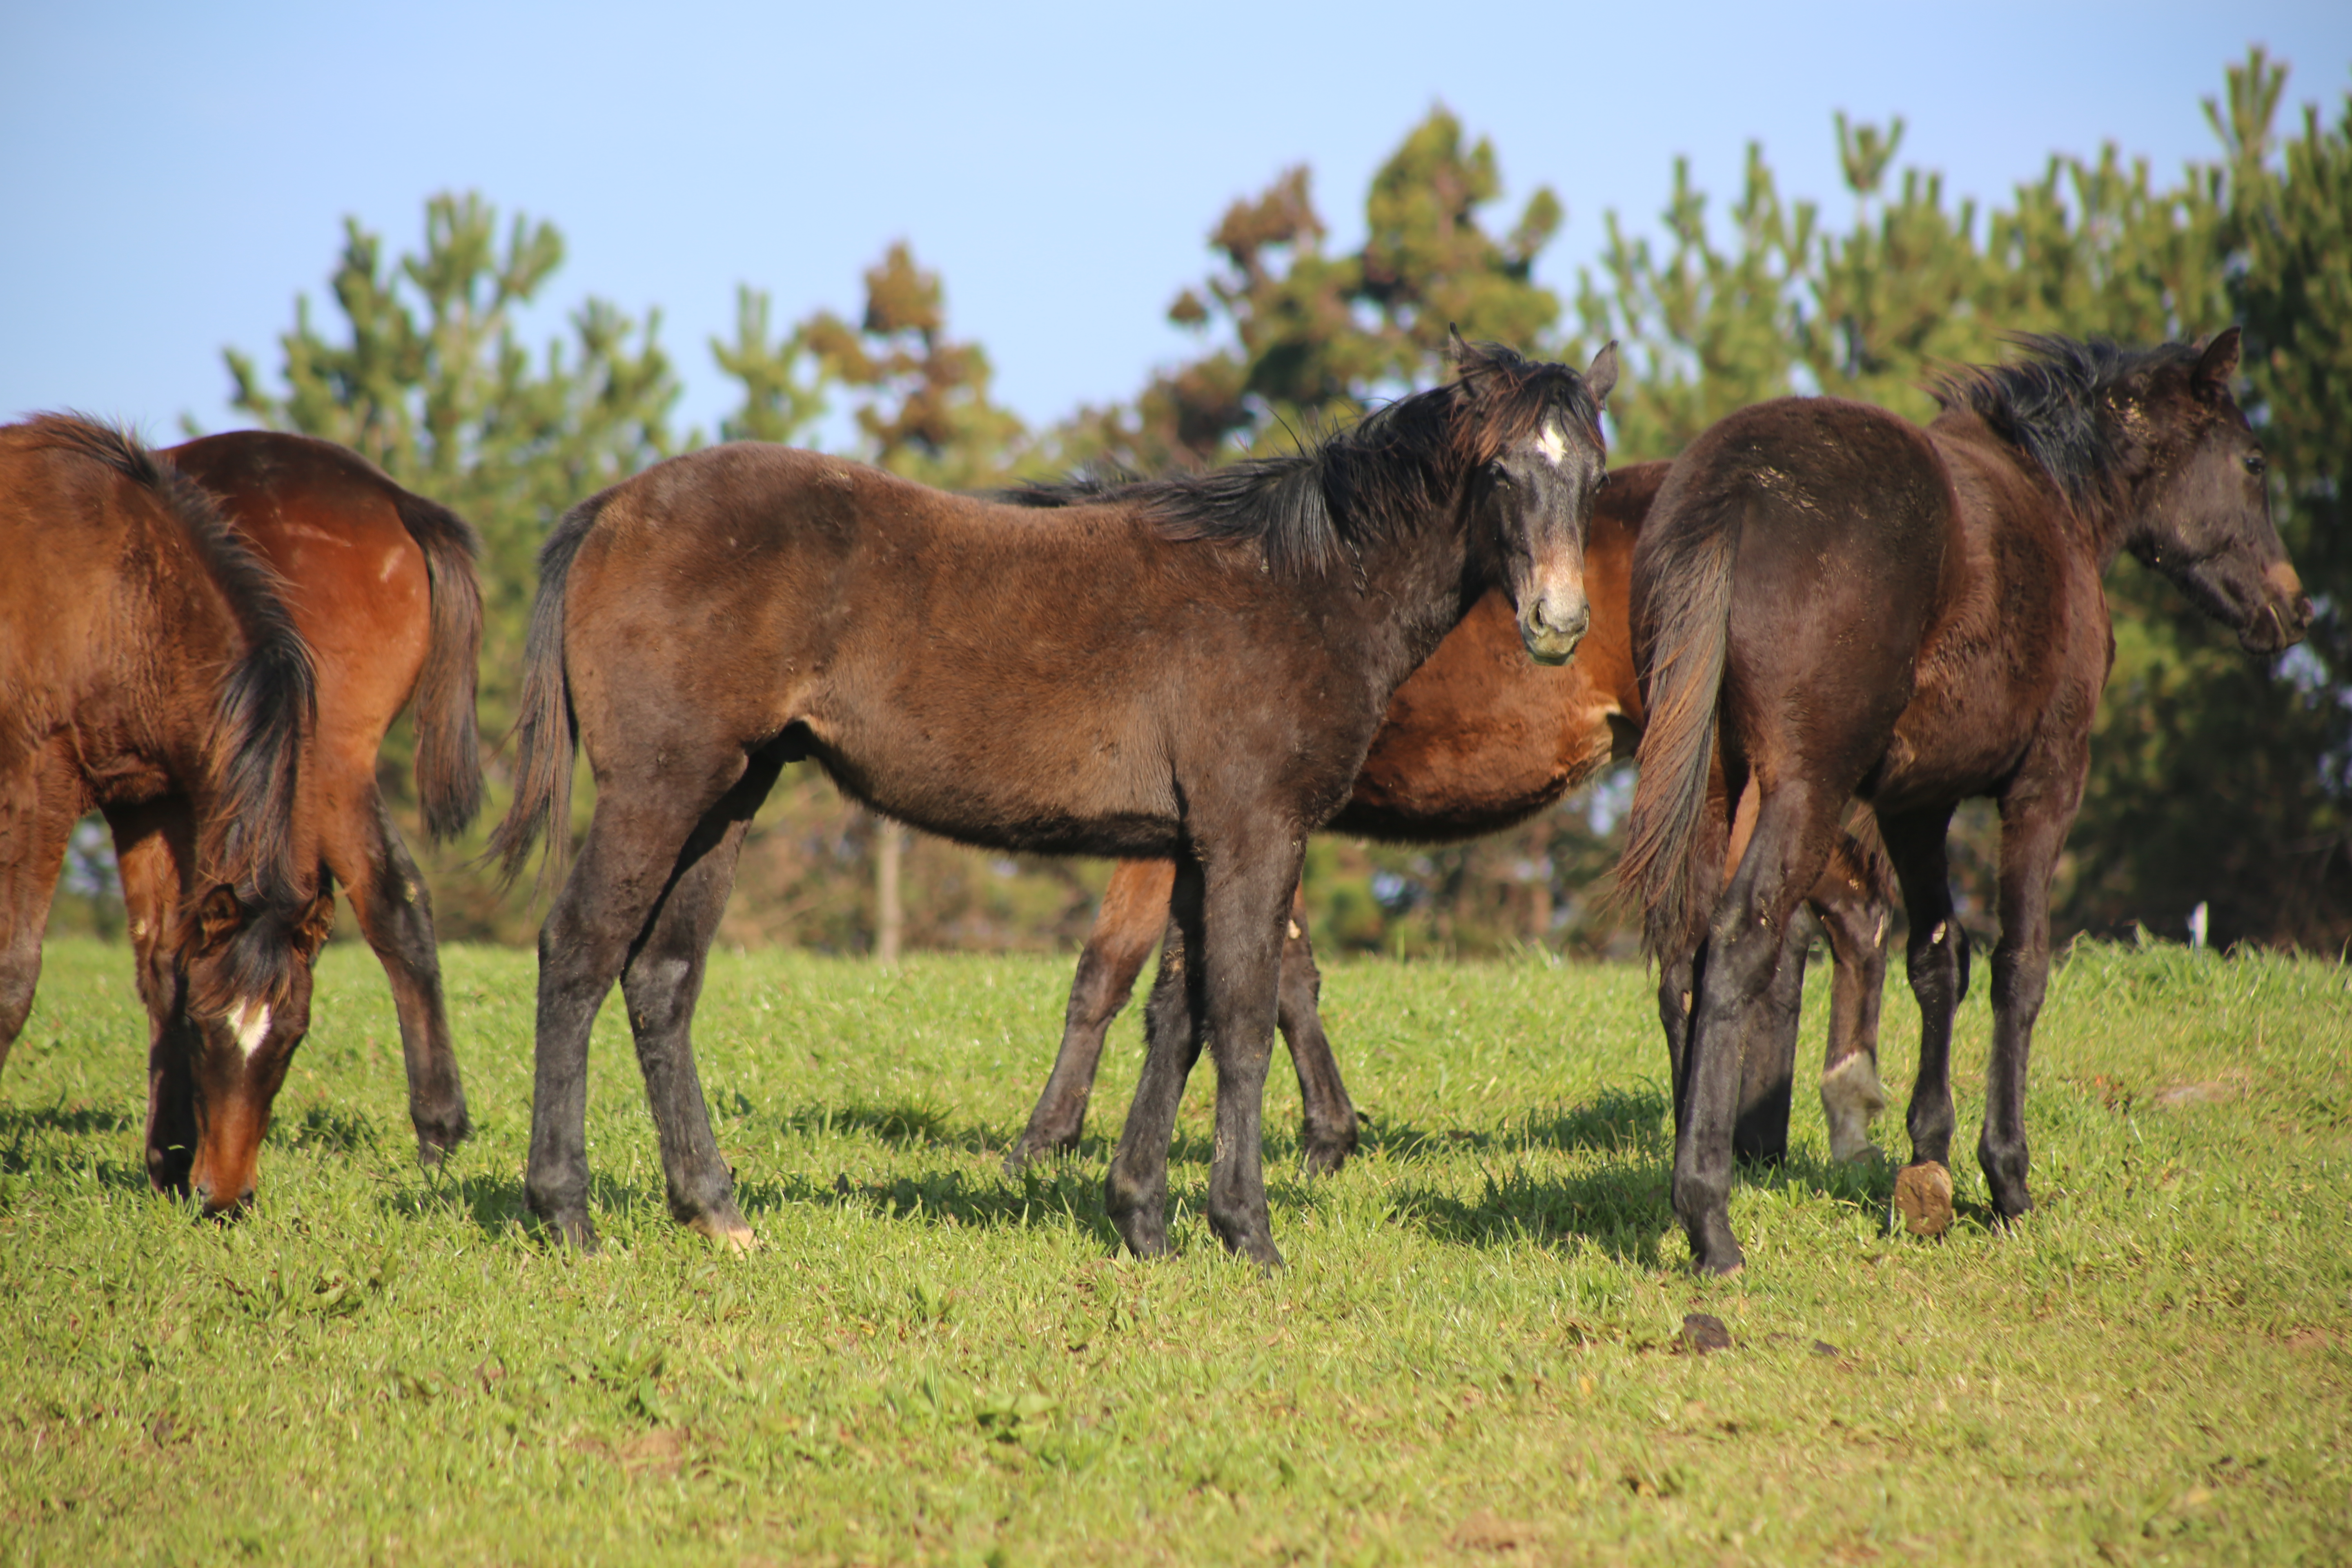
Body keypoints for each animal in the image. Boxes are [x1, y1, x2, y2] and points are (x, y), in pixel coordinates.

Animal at [0, 416, 332, 1213]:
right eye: (209, 1030)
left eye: (292, 1038)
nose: (228, 1199)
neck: (126, 597)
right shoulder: (42, 778)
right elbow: (15, 974)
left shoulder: (153, 801)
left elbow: (166, 965)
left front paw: (168, 1165)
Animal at [491, 334, 1618, 1260]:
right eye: (1501, 468)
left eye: (1592, 473)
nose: (1559, 623)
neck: (1298, 586)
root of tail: (611, 510)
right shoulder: (1254, 831)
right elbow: (1243, 1016)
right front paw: (1245, 1232)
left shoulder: (1190, 841)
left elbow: (1179, 1014)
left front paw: (1144, 1221)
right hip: (661, 783)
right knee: (579, 951)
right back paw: (567, 1213)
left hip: (730, 793)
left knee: (662, 979)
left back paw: (714, 1211)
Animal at [1627, 331, 2305, 1278]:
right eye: (2253, 461)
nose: (2293, 607)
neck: (2052, 503)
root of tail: (1731, 490)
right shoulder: (2046, 785)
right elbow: (2020, 966)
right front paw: (2007, 1178)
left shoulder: (1918, 804)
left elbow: (1938, 961)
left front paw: (1928, 1161)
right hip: (1801, 789)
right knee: (1735, 944)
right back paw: (1710, 1223)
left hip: (1718, 788)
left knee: (1684, 959)